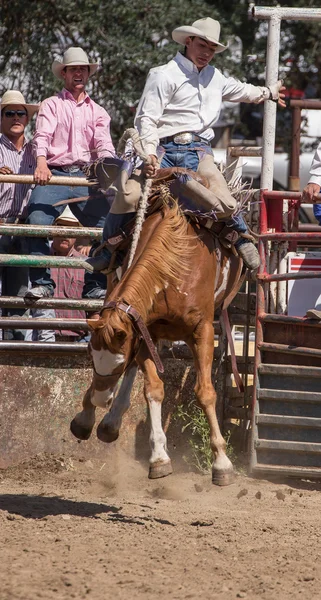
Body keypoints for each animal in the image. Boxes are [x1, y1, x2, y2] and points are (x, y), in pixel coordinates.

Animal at [69, 129, 245, 486]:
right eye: (90, 359)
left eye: (116, 363)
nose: (100, 396)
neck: (175, 265)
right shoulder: (143, 329)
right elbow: (153, 389)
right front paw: (159, 457)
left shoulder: (201, 330)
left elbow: (205, 392)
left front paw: (221, 463)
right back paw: (97, 419)